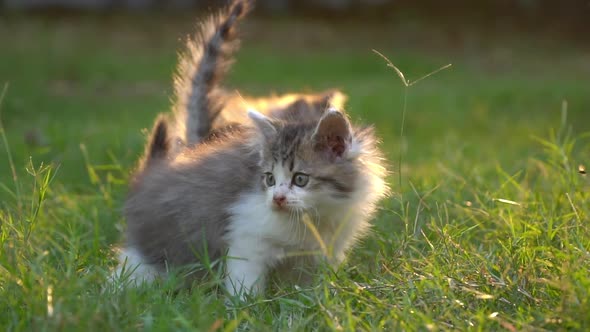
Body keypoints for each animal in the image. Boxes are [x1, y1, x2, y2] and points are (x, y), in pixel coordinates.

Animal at [117, 0, 390, 296]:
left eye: (300, 179)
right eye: (269, 179)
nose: (277, 198)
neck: (312, 217)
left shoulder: (316, 251)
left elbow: (305, 285)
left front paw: (306, 301)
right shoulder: (245, 231)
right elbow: (245, 276)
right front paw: (245, 303)